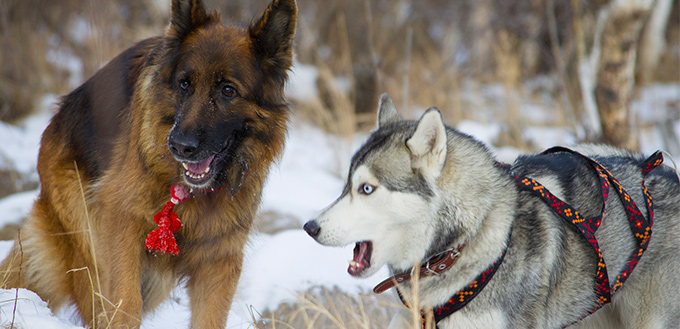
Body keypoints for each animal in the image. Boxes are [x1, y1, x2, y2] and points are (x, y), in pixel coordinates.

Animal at [0, 0, 298, 326]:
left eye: (228, 90)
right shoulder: (121, 230)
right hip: (91, 245)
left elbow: (209, 318)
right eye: (184, 84)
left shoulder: (219, 261)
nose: (180, 146)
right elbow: (126, 306)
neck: (190, 193)